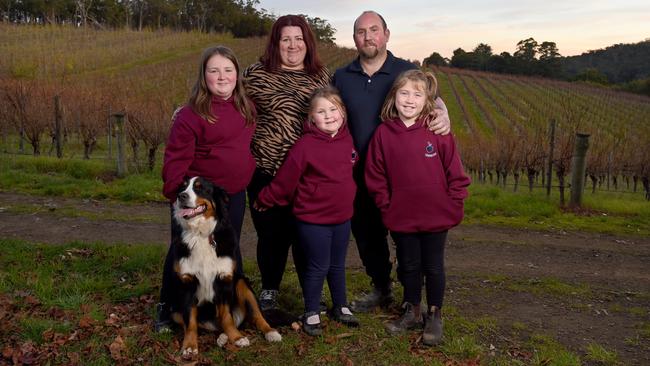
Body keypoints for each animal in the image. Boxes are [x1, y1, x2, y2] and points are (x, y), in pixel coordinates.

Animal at [167, 176, 278, 358]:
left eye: (199, 188)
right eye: (182, 187)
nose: (181, 196)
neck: (200, 234)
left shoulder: (224, 279)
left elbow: (227, 316)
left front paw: (237, 337)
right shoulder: (187, 283)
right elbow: (190, 321)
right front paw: (189, 346)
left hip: (241, 283)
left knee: (256, 315)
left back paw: (270, 332)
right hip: (174, 309)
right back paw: (222, 338)